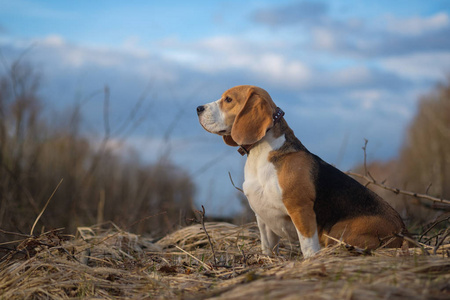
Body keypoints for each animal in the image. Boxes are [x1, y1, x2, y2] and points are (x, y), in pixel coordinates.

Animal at [197, 85, 408, 258]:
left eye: (228, 99)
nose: (198, 108)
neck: (261, 152)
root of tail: (404, 232)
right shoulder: (262, 218)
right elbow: (267, 249)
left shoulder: (300, 210)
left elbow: (308, 248)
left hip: (336, 234)